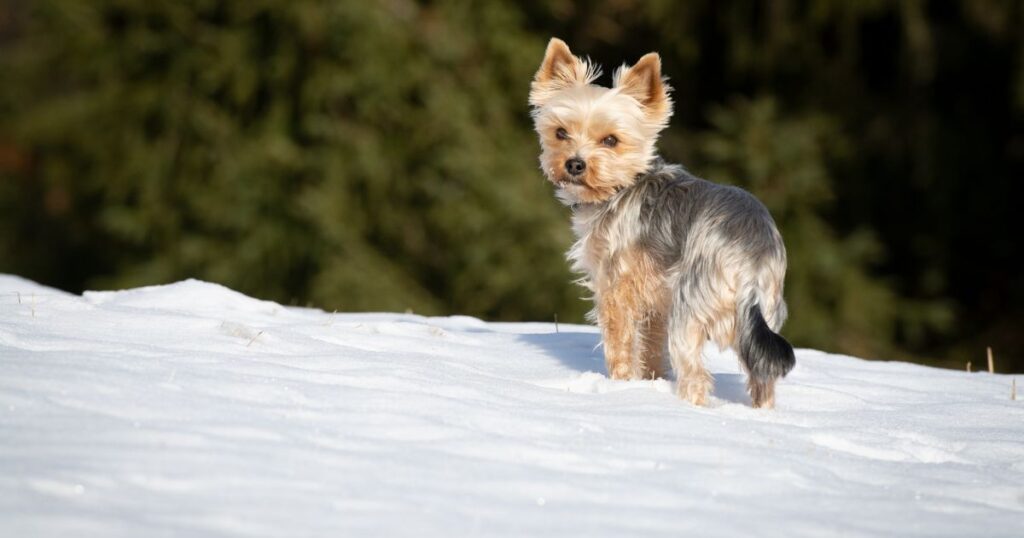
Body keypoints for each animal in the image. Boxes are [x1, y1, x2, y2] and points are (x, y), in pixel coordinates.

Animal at [532, 38, 794, 407]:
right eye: (560, 133)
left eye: (610, 140)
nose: (574, 164)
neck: (622, 186)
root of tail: (750, 264)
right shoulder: (656, 298)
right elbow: (652, 347)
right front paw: (650, 381)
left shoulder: (615, 287)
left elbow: (620, 345)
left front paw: (621, 385)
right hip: (764, 314)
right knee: (763, 378)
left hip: (689, 310)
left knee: (695, 374)